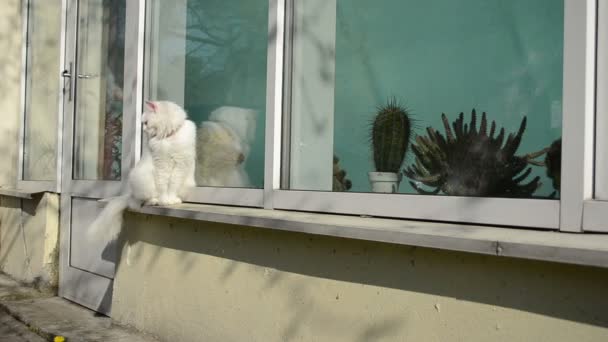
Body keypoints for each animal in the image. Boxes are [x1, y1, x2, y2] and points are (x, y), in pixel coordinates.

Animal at [87, 100, 195, 239]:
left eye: (146, 123)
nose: (143, 130)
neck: (168, 137)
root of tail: (130, 194)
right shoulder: (162, 165)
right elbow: (164, 186)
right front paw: (165, 201)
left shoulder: (180, 165)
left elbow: (173, 185)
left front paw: (171, 200)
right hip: (141, 179)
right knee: (141, 201)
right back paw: (155, 201)